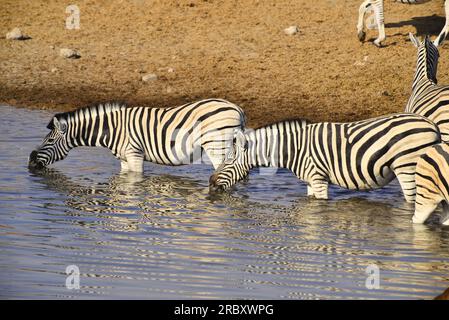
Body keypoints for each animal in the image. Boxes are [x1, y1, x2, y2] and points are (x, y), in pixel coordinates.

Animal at [28, 99, 245, 172]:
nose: (30, 162)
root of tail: (238, 108)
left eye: (49, 140)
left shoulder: (134, 154)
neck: (112, 129)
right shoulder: (124, 159)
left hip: (217, 145)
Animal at [208, 113, 440, 202]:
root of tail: (432, 125)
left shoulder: (318, 178)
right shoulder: (311, 181)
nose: (210, 183)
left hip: (408, 168)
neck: (294, 149)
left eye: (228, 160)